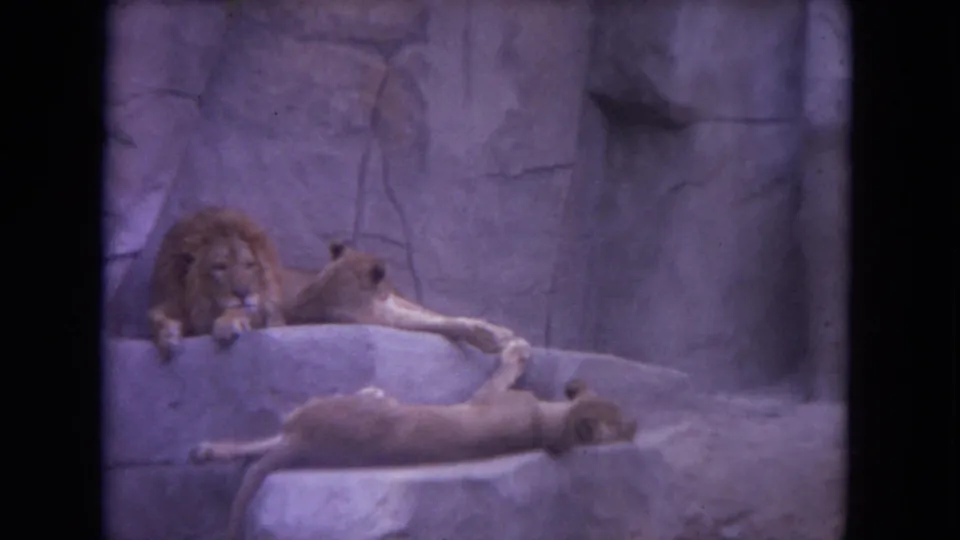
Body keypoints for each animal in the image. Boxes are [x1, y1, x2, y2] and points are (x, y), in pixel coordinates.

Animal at [146, 207, 286, 361]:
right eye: (219, 267)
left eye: (249, 265)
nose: (243, 293)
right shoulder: (172, 300)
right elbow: (154, 316)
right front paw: (169, 336)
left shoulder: (264, 307)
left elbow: (245, 309)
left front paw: (227, 325)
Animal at [189, 341, 638, 540]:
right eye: (619, 412)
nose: (636, 424)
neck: (548, 425)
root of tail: (304, 443)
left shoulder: (487, 397)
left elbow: (501, 371)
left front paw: (517, 351)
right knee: (259, 447)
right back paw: (202, 451)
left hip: (323, 413)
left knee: (267, 442)